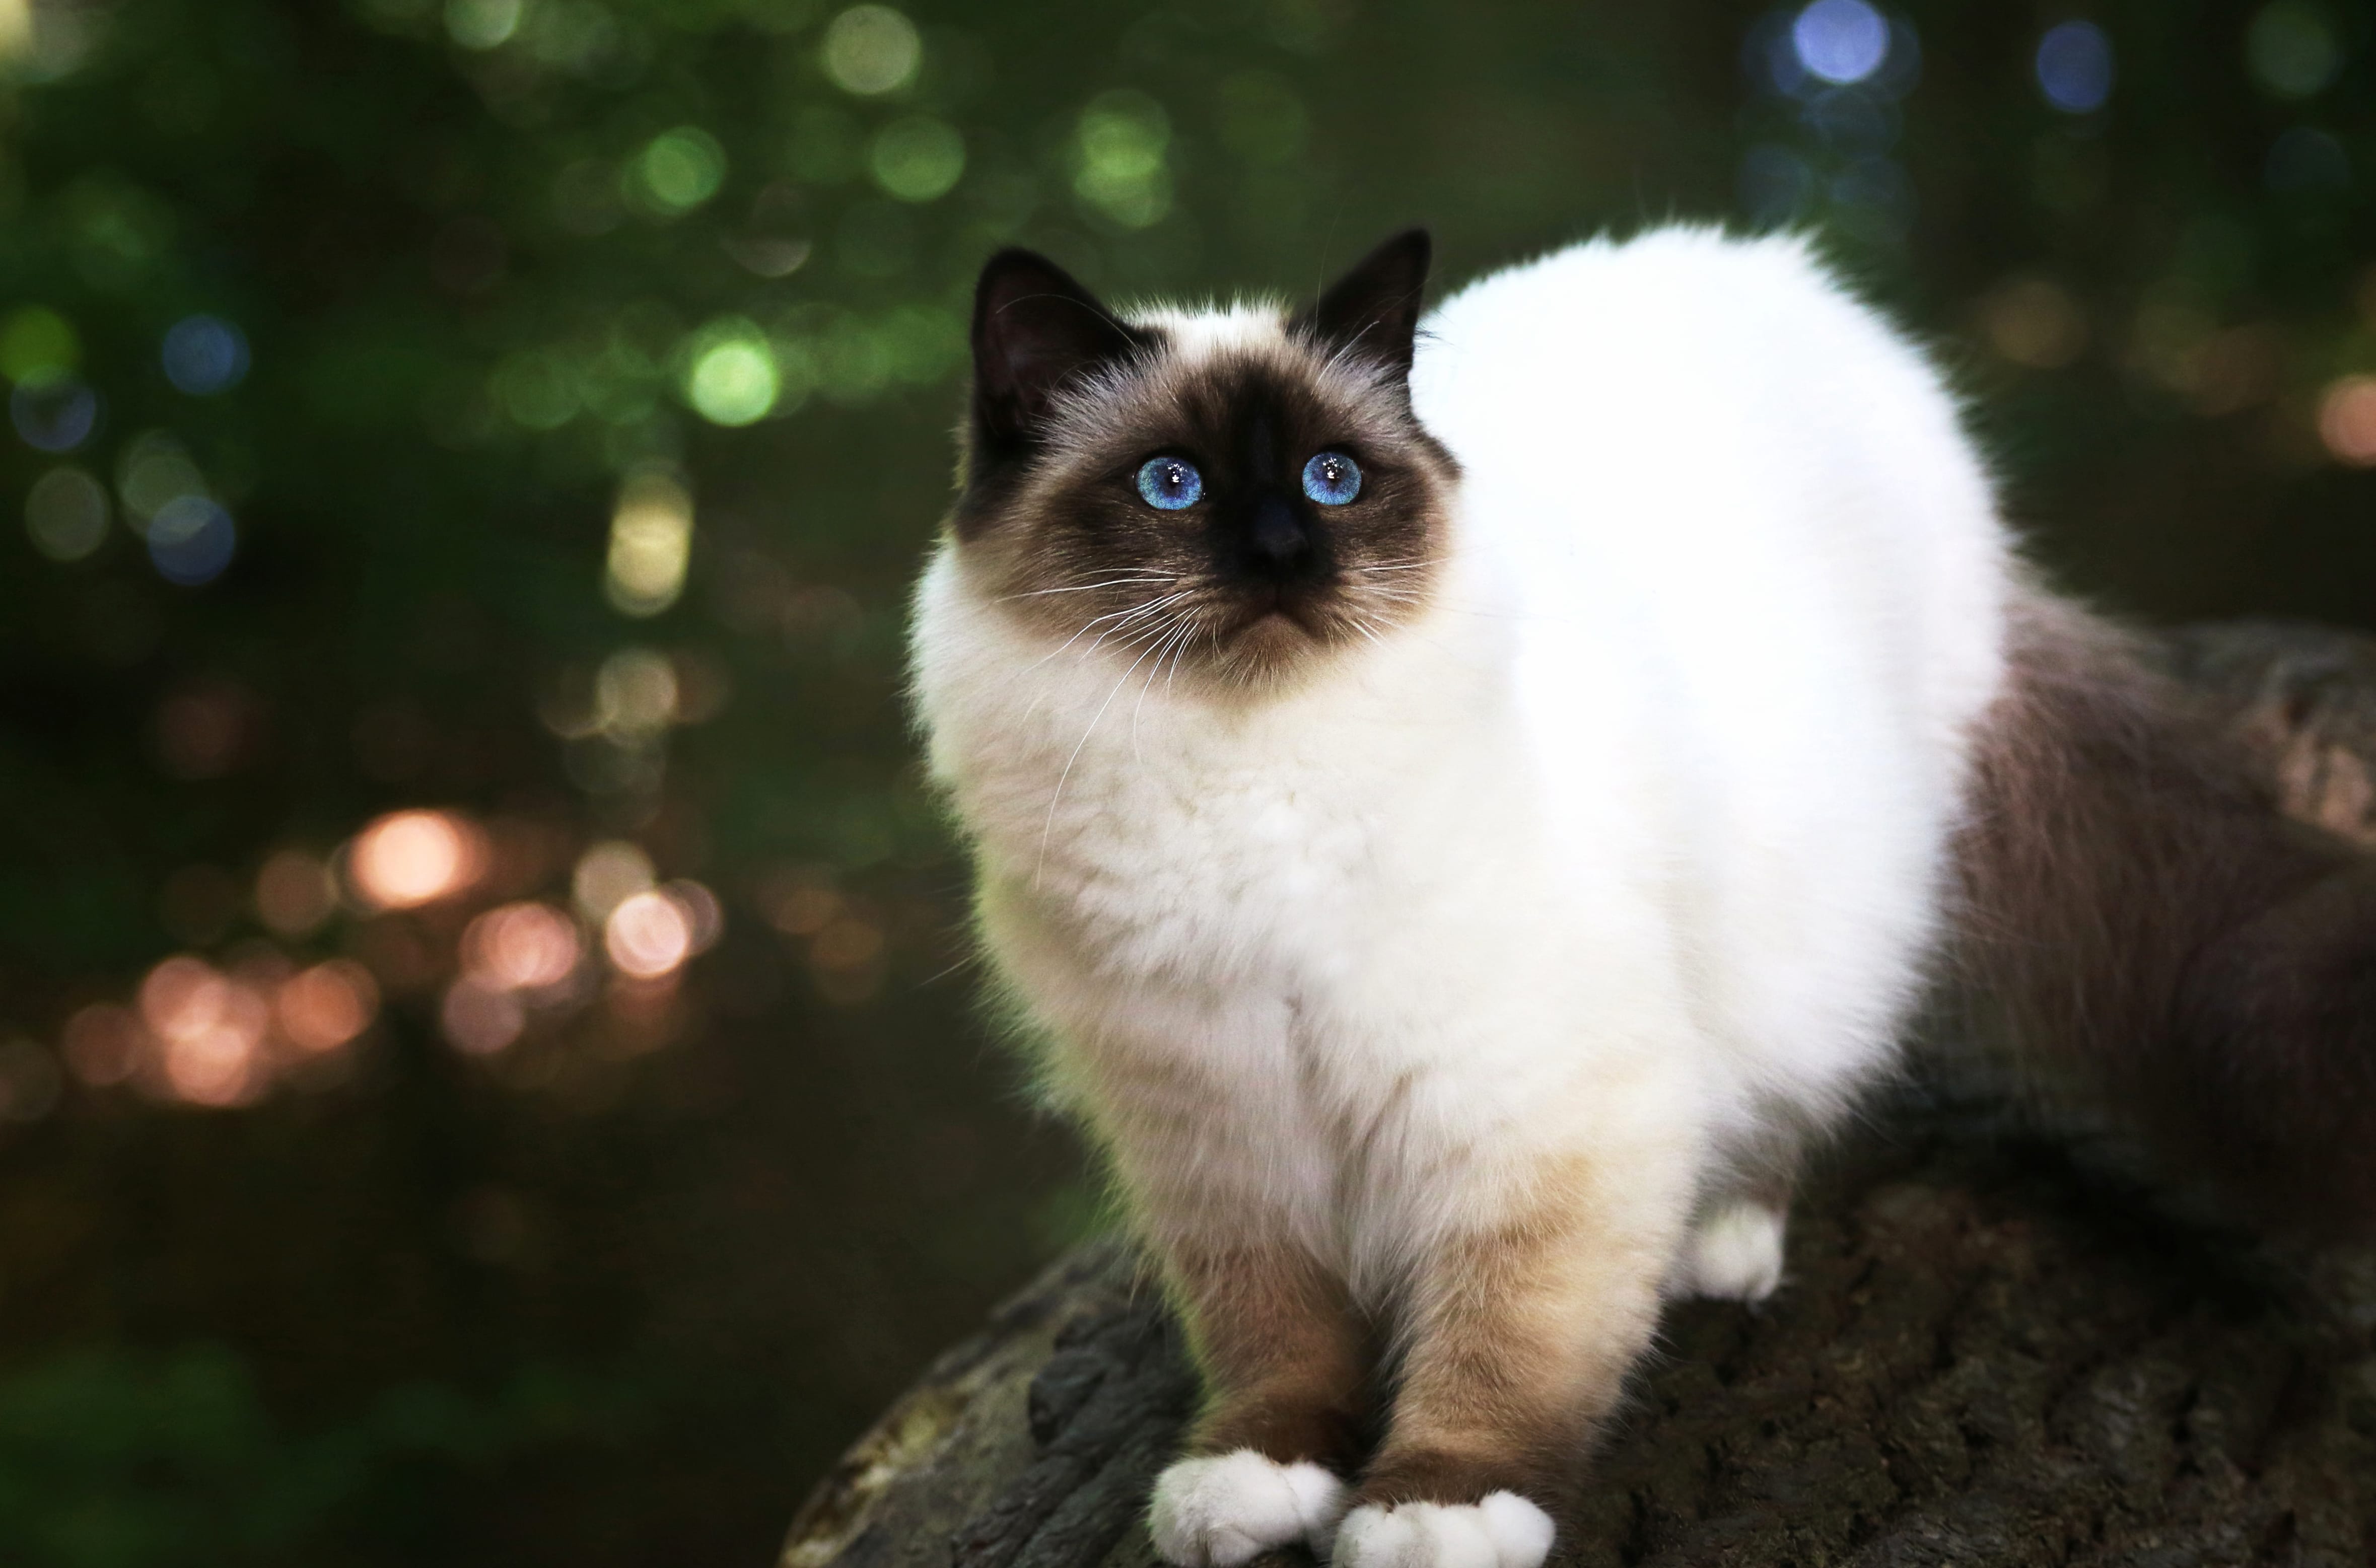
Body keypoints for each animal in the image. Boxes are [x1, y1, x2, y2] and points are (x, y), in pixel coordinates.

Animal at [902, 227, 2376, 1567]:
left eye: (1331, 479)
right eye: (1171, 485)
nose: (1279, 553)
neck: (1244, 780)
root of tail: (1797, 284)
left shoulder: (1535, 1113)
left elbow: (1503, 1344)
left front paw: (1433, 1511)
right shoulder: (1219, 1135)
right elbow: (1276, 1338)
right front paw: (1257, 1482)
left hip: (1813, 917)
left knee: (1786, 1086)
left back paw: (1717, 1240)